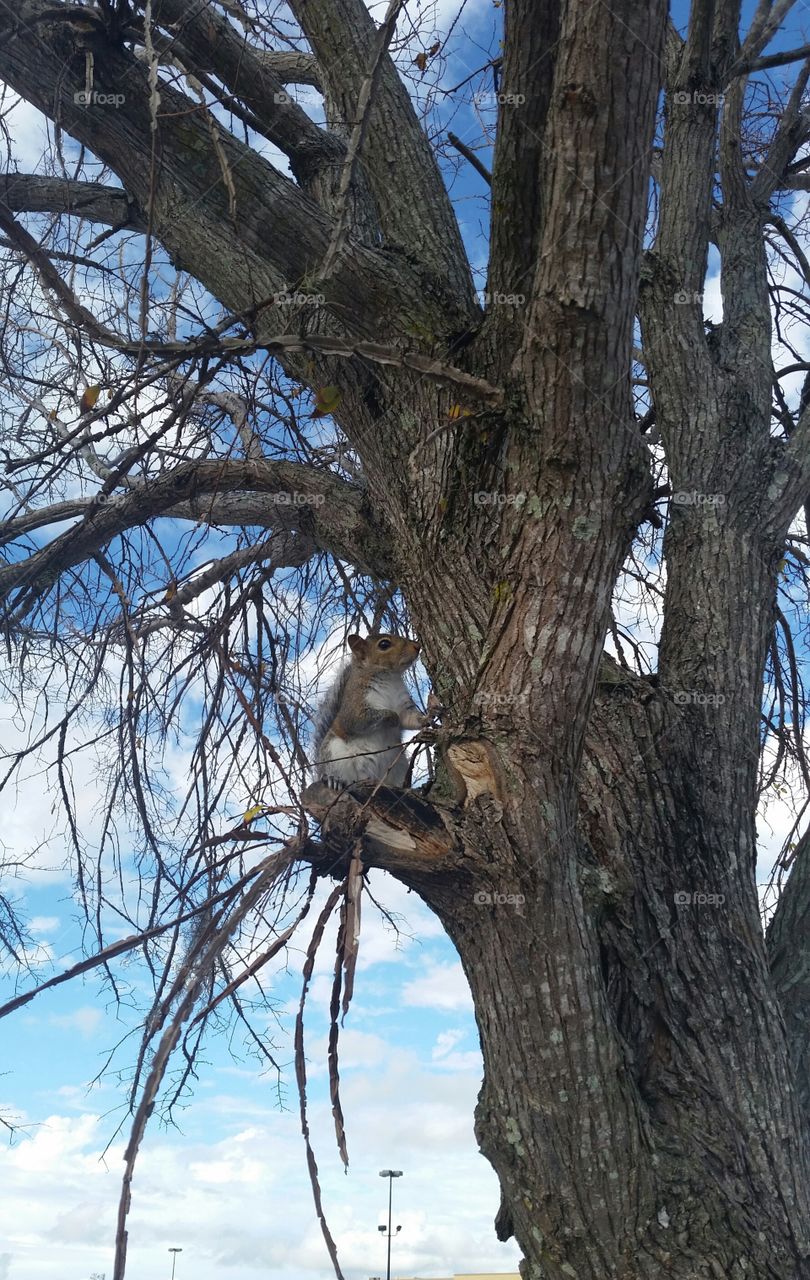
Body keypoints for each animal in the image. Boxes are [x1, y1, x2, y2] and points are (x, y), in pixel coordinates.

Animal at [311, 633, 436, 790]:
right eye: (384, 644)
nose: (417, 646)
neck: (389, 677)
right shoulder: (354, 705)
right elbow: (359, 720)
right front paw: (393, 718)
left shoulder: (404, 705)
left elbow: (410, 719)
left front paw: (428, 718)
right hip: (335, 755)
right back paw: (334, 780)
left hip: (399, 765)